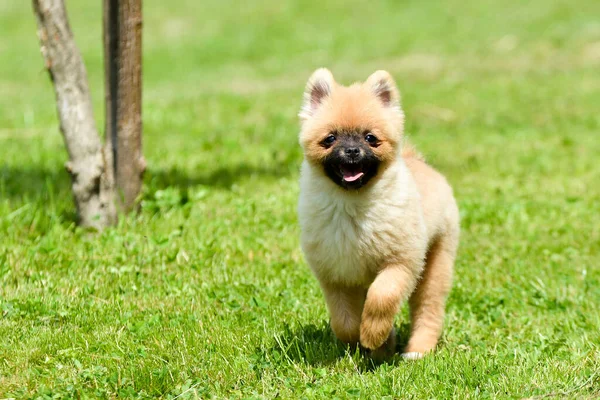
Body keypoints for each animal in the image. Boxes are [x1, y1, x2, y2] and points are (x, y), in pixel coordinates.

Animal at [296, 69, 460, 360]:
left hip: (436, 262)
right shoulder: (335, 275)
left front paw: (374, 334)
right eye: (330, 139)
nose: (352, 150)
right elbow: (344, 322)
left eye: (370, 138)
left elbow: (382, 297)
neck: (351, 205)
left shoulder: (400, 263)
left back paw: (418, 350)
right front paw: (379, 343)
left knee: (428, 310)